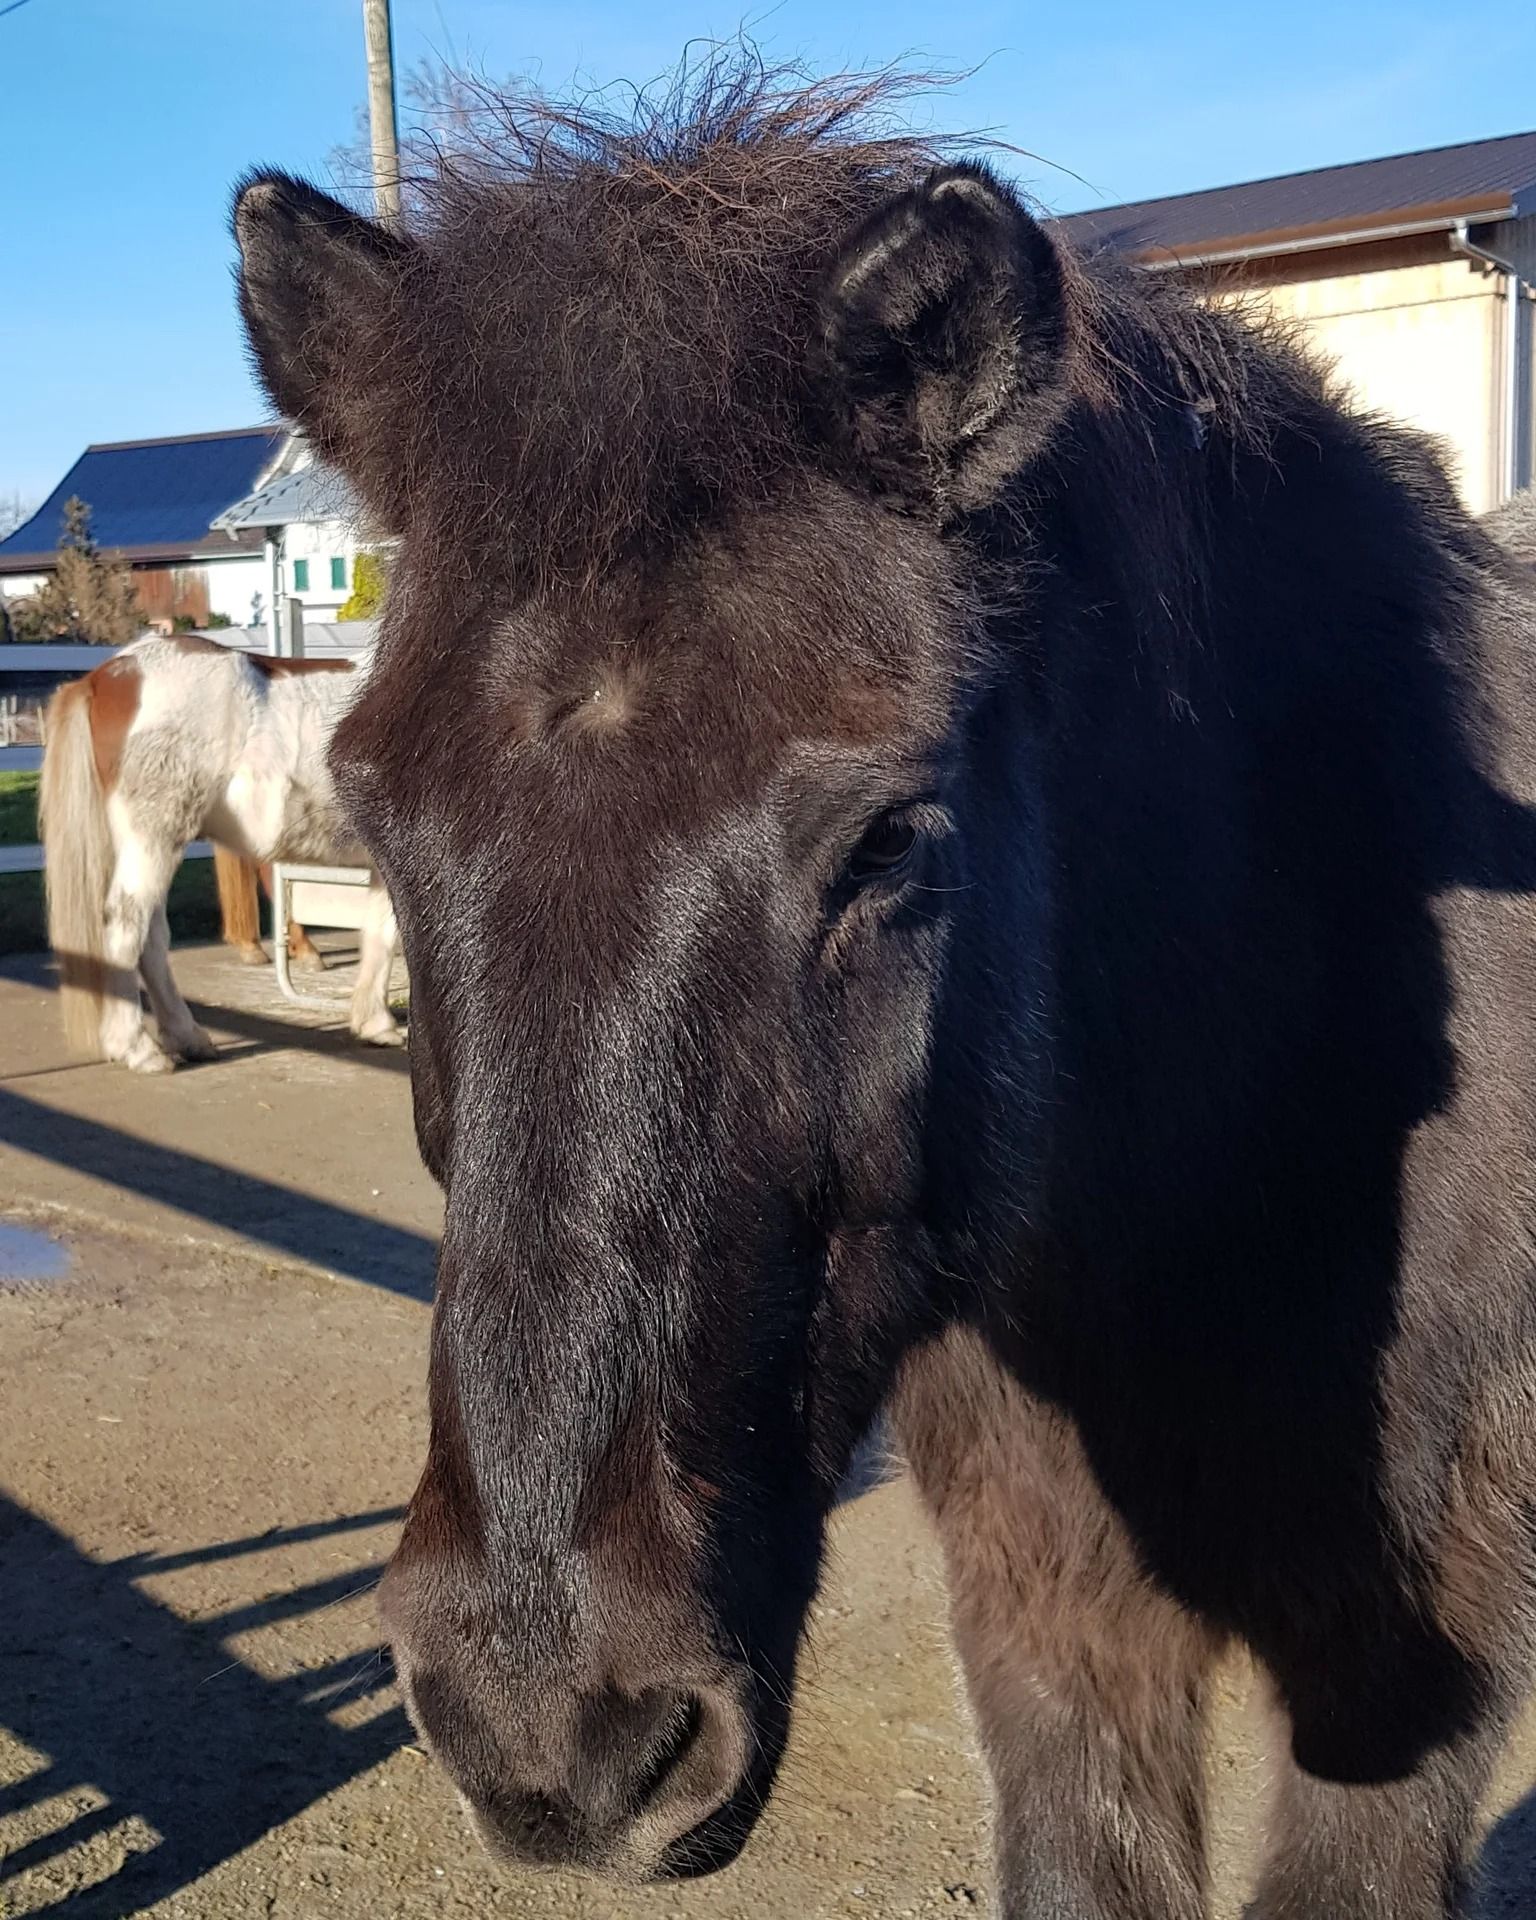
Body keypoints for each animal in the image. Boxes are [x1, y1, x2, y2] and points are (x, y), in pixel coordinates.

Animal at [40, 634, 403, 1073]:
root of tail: (109, 675)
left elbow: (381, 933)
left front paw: (375, 1024)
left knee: (152, 940)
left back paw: (187, 1037)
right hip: (152, 840)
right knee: (127, 929)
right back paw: (138, 1049)